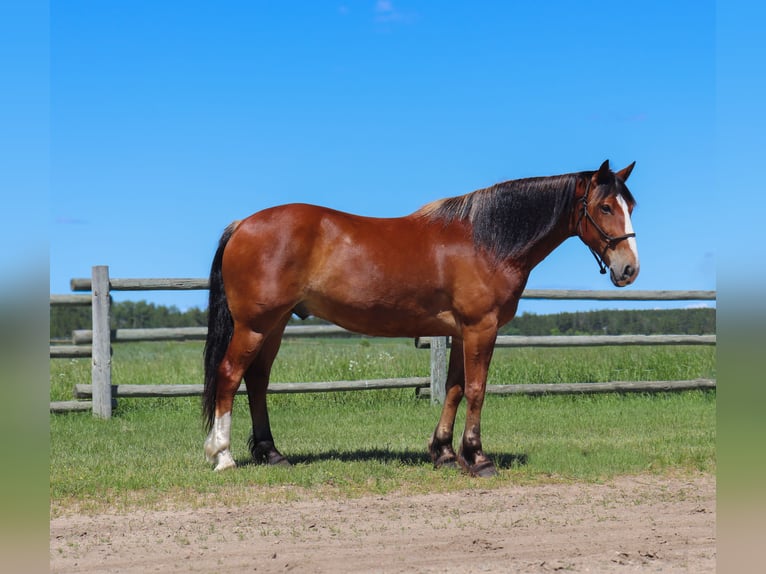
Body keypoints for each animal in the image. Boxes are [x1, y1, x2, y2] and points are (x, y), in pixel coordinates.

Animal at [201, 161, 640, 476]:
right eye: (604, 207)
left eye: (630, 207)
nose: (629, 269)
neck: (486, 240)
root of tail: (242, 225)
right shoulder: (482, 327)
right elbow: (476, 389)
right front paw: (478, 458)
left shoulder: (462, 332)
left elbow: (454, 388)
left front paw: (444, 452)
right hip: (255, 326)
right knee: (229, 375)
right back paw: (223, 456)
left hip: (274, 325)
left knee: (257, 380)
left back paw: (272, 454)